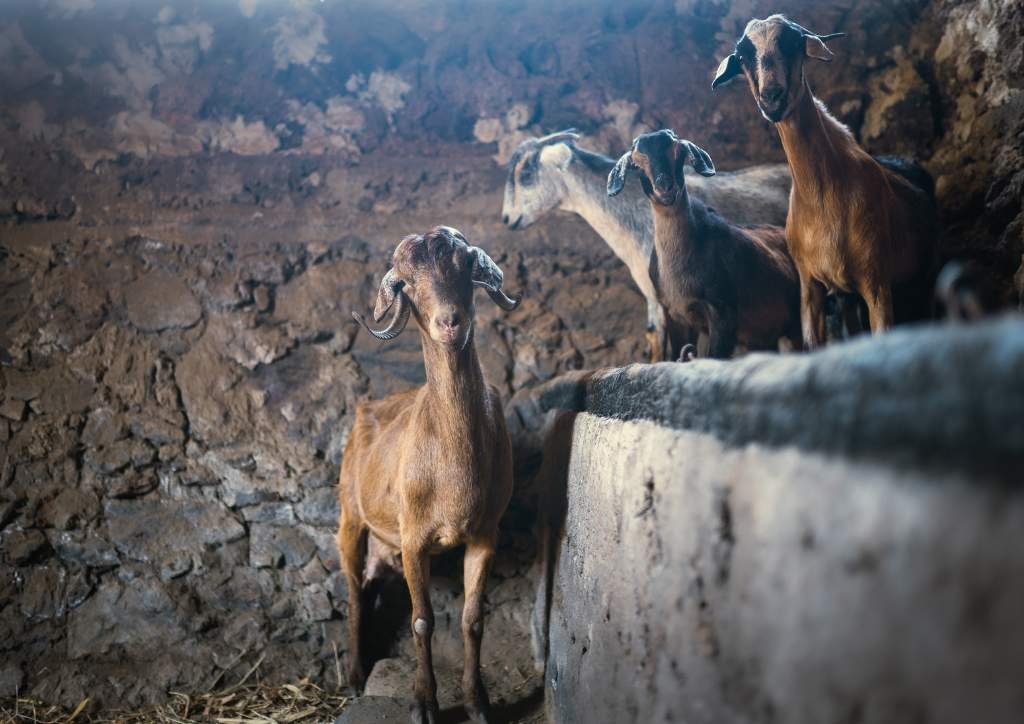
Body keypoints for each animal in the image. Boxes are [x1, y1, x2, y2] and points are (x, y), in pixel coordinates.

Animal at [339, 226, 520, 724]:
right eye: (409, 284)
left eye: (464, 266)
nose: (450, 322)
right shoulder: (415, 538)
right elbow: (422, 620)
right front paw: (424, 704)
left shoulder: (485, 535)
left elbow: (473, 619)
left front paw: (478, 703)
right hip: (350, 518)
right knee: (353, 593)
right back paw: (356, 675)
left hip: (387, 545)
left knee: (369, 586)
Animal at [712, 12, 937, 348]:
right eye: (741, 56)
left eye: (793, 41)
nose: (772, 97)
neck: (823, 194)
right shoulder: (810, 285)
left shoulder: (876, 280)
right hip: (847, 295)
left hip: (924, 270)